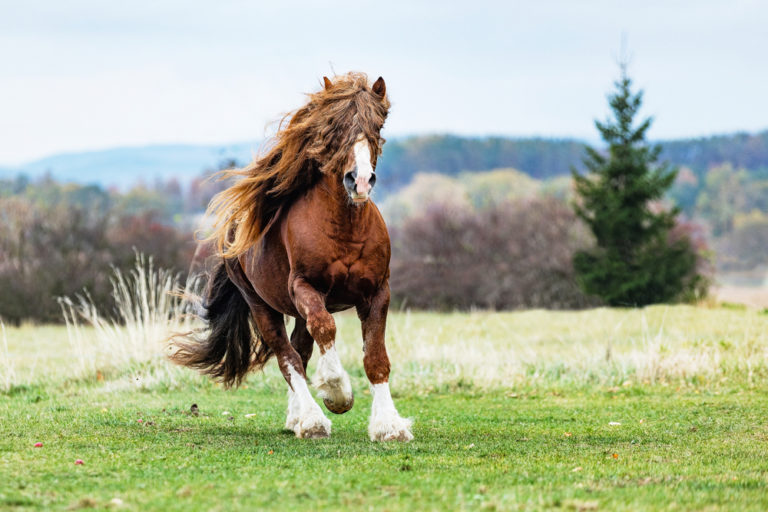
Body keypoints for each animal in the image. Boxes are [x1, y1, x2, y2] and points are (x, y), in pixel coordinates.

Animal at [171, 72, 413, 442]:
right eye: (333, 127)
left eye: (377, 124)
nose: (359, 181)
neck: (345, 229)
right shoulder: (305, 287)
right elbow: (325, 329)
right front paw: (337, 394)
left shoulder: (377, 293)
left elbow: (375, 357)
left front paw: (389, 426)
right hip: (262, 306)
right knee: (288, 357)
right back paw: (312, 421)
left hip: (296, 309)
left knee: (300, 348)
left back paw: (297, 417)